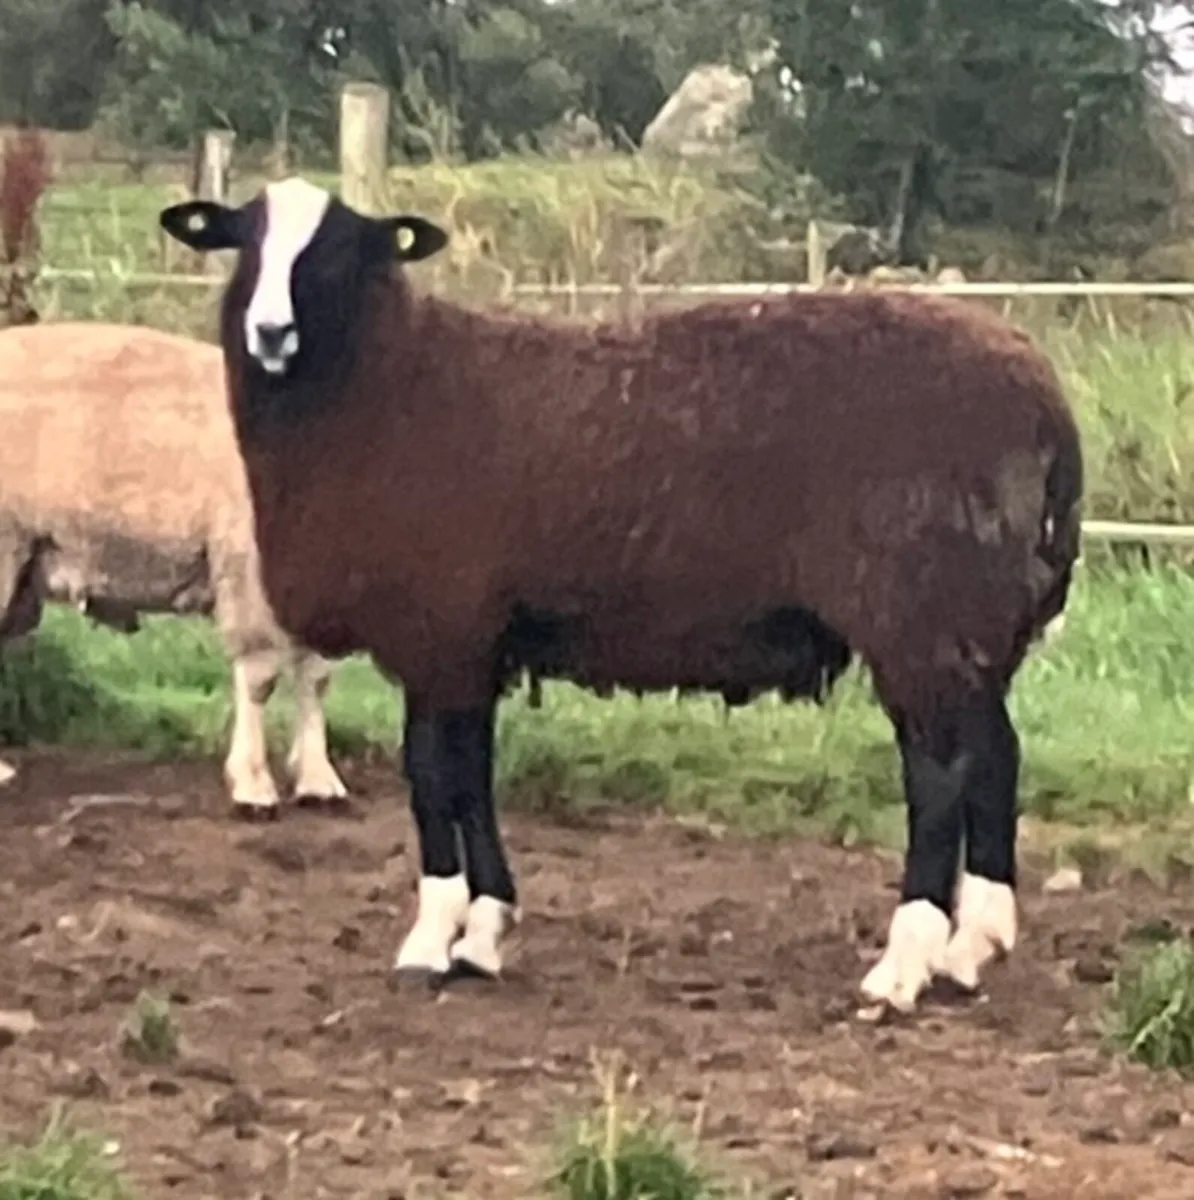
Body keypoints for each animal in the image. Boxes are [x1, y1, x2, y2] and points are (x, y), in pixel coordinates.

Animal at [158, 176, 1083, 1014]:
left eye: (340, 251)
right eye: (245, 240)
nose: (270, 331)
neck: (387, 387)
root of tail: (1041, 394)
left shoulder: (440, 629)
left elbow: (432, 774)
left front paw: (432, 938)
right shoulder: (479, 638)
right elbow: (474, 774)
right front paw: (485, 934)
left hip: (918, 616)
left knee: (939, 774)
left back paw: (904, 967)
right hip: (974, 624)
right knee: (996, 757)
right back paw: (973, 949)